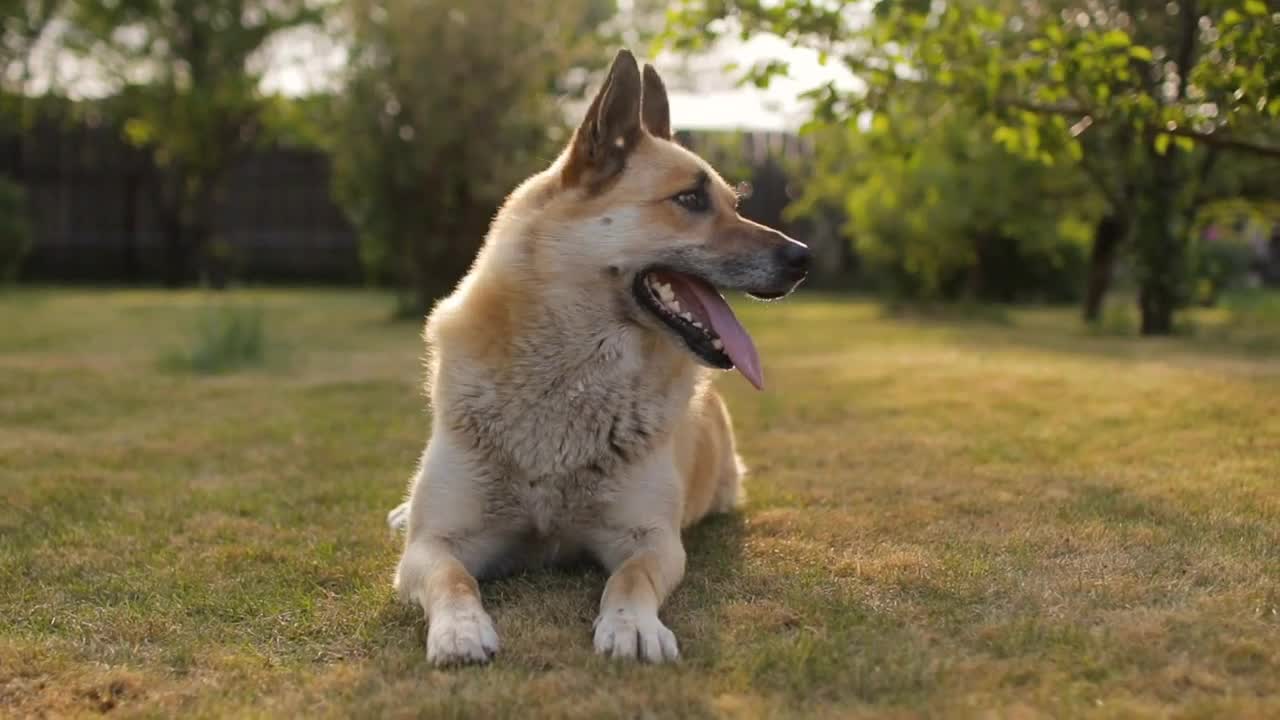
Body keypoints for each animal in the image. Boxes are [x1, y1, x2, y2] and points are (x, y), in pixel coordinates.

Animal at [386, 50, 808, 666]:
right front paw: (460, 629)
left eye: (733, 204)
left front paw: (632, 625)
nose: (804, 258)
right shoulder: (437, 542)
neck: (569, 382)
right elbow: (451, 577)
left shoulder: (651, 540)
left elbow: (629, 578)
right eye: (690, 199)